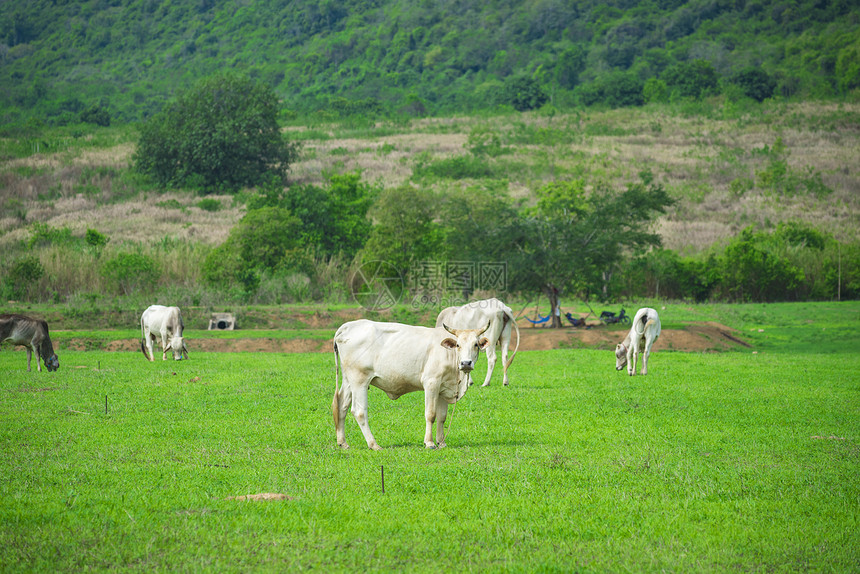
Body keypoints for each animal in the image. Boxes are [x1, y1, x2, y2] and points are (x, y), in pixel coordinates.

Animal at [332, 322, 490, 452]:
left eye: (476, 344)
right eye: (458, 345)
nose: (466, 363)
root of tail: (347, 326)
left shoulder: (443, 389)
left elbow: (442, 417)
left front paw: (441, 442)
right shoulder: (431, 383)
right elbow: (431, 415)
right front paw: (429, 442)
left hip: (348, 381)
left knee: (341, 407)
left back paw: (342, 443)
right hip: (359, 381)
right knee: (359, 411)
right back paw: (373, 444)